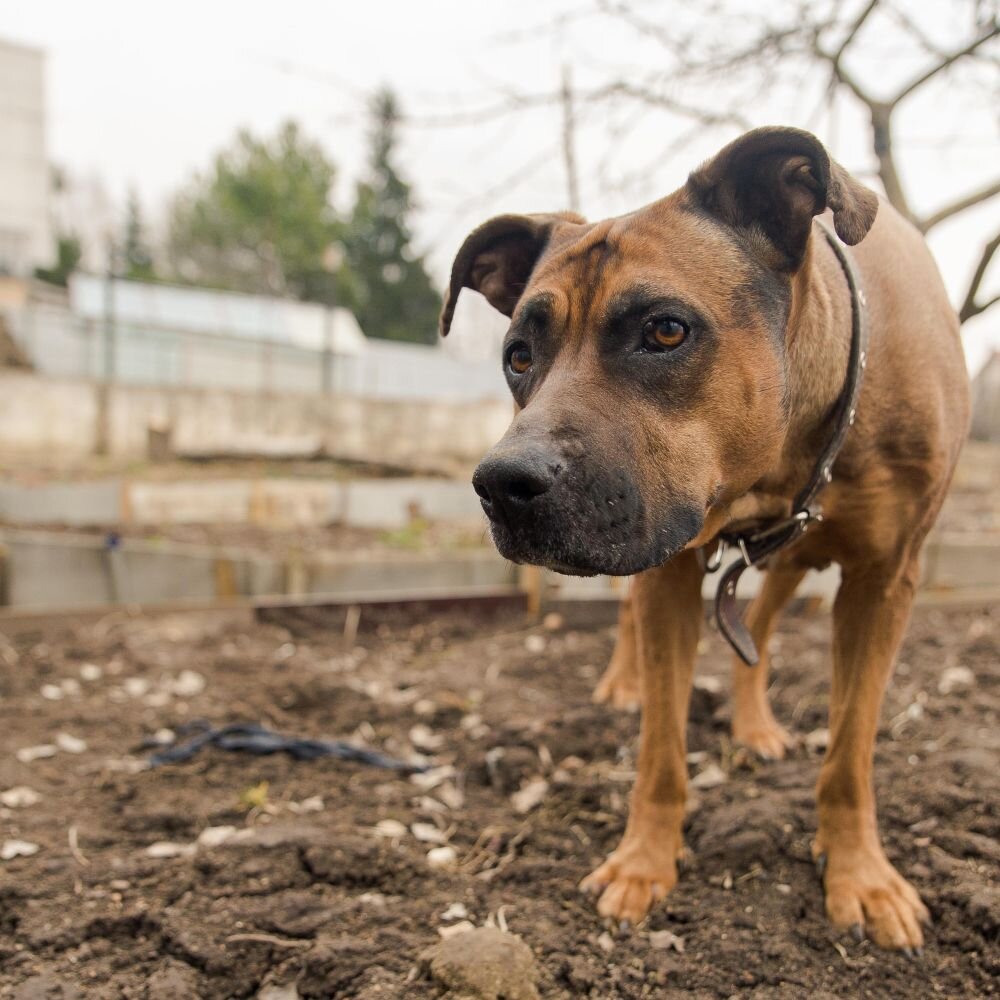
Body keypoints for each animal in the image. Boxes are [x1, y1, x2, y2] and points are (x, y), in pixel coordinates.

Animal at [438, 127, 968, 952]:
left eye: (665, 329)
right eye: (518, 355)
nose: (501, 483)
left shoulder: (886, 579)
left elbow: (851, 750)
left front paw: (861, 876)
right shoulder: (667, 565)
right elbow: (661, 745)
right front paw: (642, 864)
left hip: (793, 564)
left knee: (762, 628)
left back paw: (755, 726)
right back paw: (621, 685)